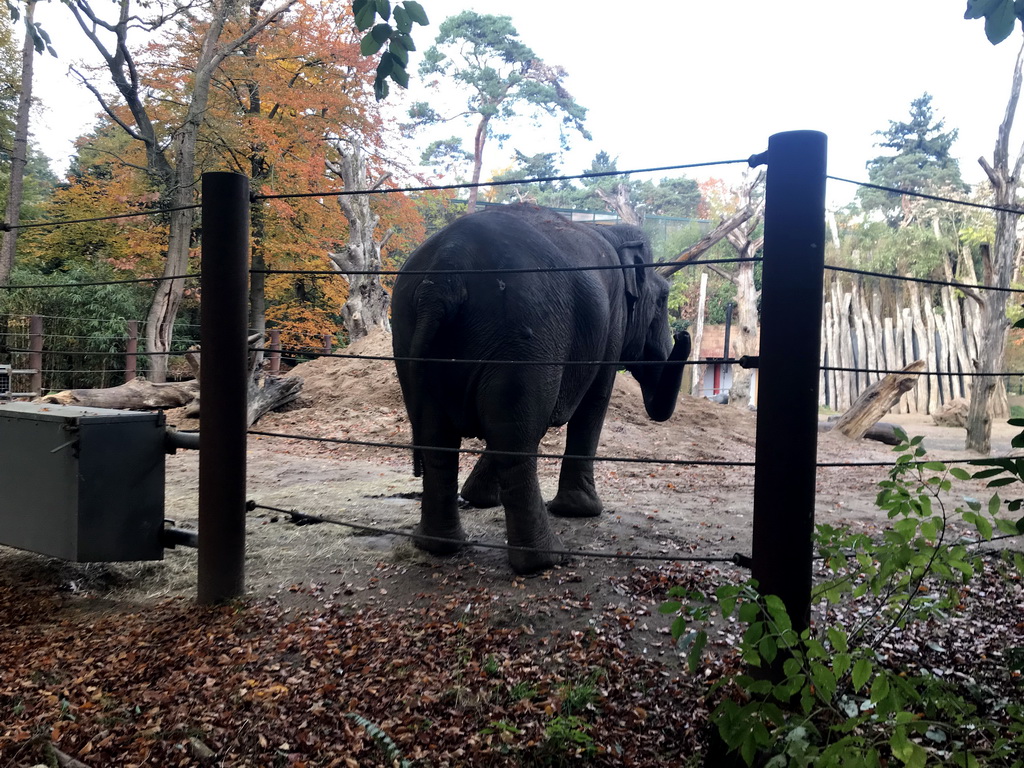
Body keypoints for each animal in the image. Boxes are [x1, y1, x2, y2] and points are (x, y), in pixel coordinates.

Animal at [389, 201, 688, 573]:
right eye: (663, 300)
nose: (684, 335)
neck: (610, 229)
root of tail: (445, 271)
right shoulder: (612, 321)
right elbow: (594, 399)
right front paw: (582, 512)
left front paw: (480, 498)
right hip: (523, 332)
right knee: (515, 433)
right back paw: (543, 561)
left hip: (409, 331)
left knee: (438, 434)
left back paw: (438, 545)